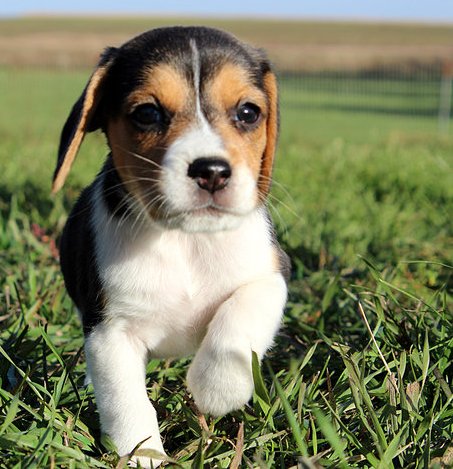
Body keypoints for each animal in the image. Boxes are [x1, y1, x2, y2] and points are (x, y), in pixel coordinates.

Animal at [52, 26, 286, 468]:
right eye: (147, 113)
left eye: (248, 113)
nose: (211, 171)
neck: (185, 239)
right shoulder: (110, 332)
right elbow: (127, 401)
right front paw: (142, 454)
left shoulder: (271, 277)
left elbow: (240, 317)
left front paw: (216, 388)